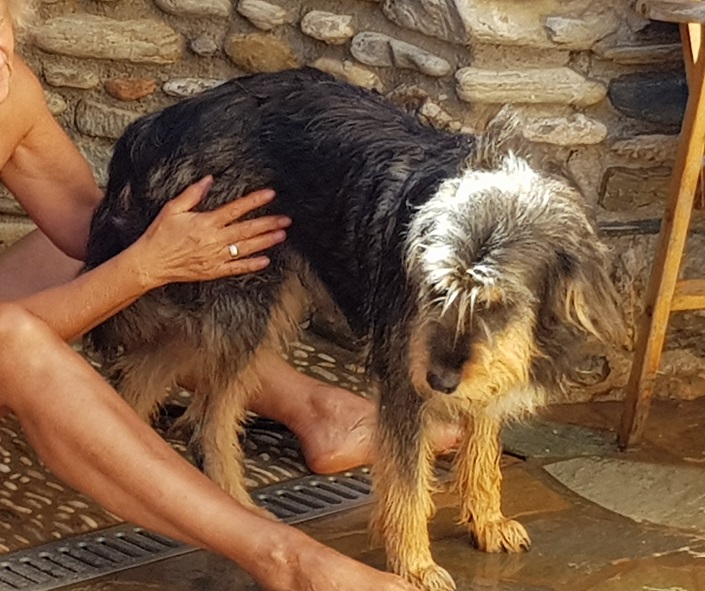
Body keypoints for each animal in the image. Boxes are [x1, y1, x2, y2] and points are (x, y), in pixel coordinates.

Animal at [84, 68, 620, 591]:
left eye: (497, 303)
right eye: (435, 289)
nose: (440, 382)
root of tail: (160, 123)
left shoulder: (486, 367)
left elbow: (483, 450)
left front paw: (486, 521)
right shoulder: (406, 374)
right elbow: (406, 484)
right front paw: (413, 566)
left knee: (143, 379)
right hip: (241, 293)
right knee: (208, 420)